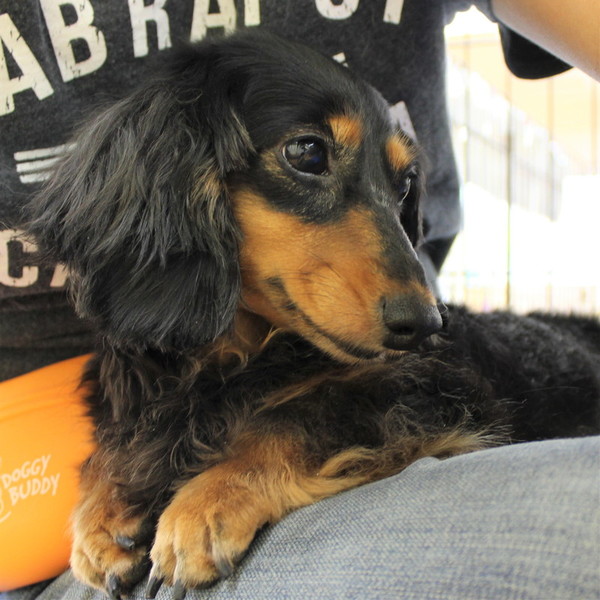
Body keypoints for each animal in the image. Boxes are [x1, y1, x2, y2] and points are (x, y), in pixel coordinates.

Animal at [27, 30, 600, 598]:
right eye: (307, 152)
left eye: (405, 185)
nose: (428, 324)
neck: (238, 353)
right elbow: (114, 450)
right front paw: (101, 517)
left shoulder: (438, 390)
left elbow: (302, 414)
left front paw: (206, 500)